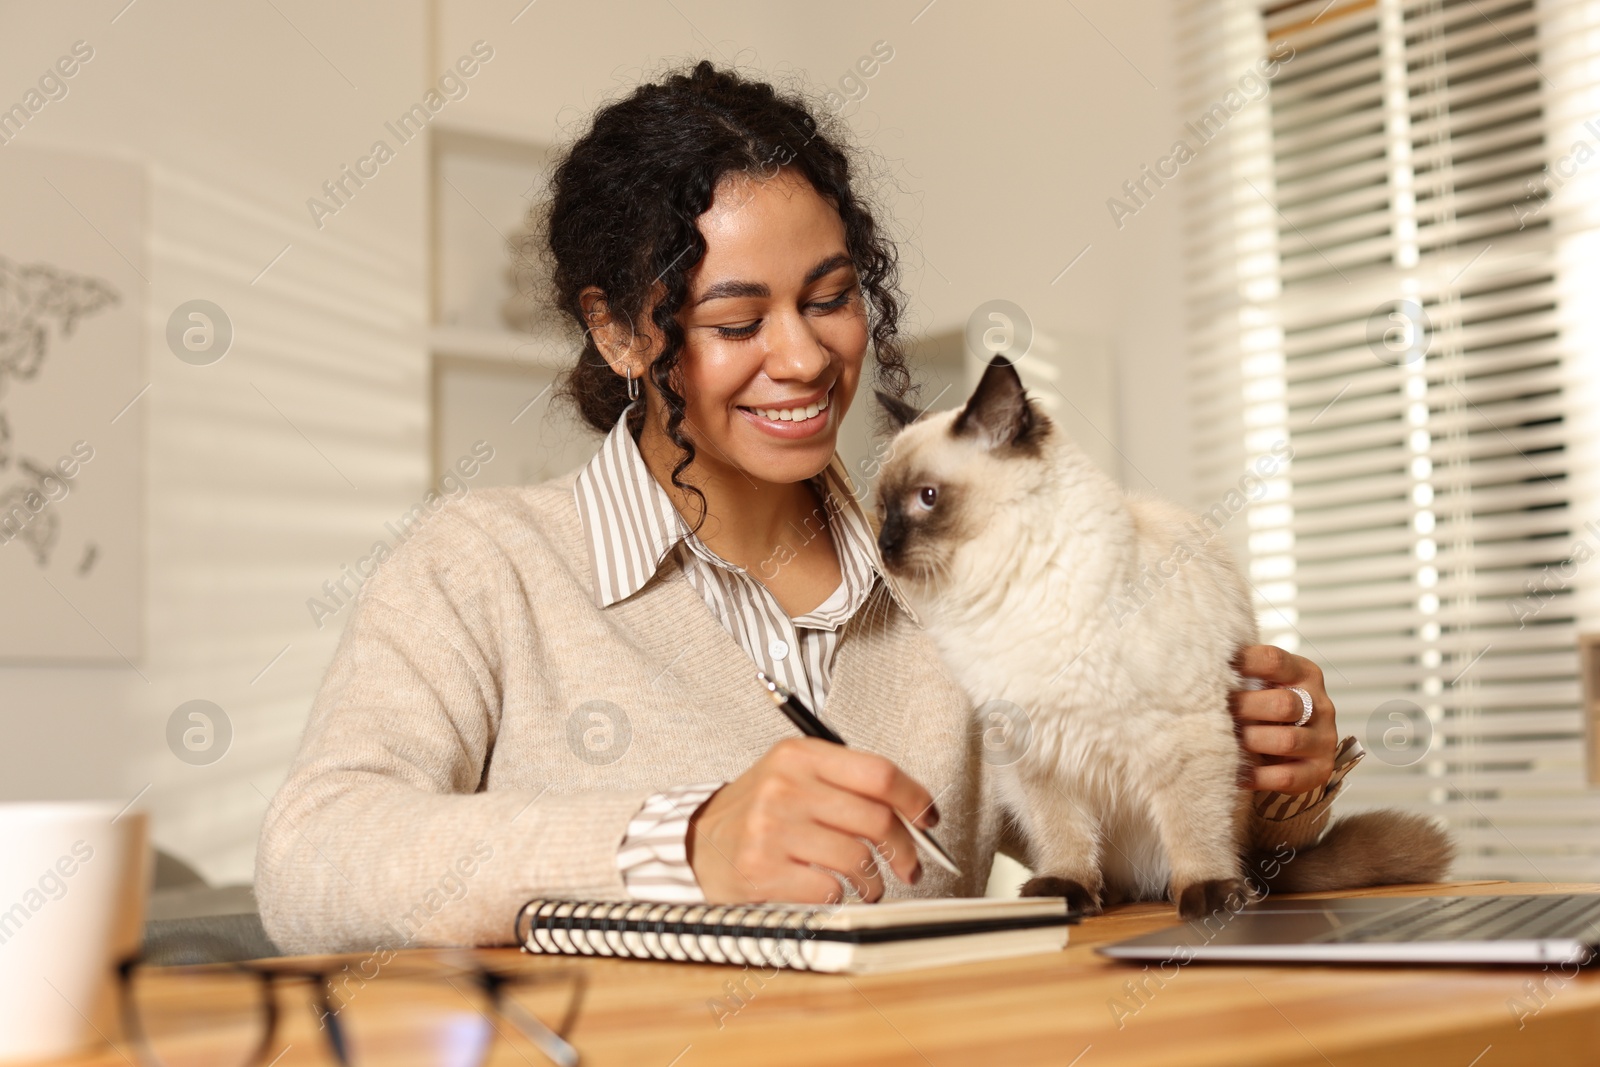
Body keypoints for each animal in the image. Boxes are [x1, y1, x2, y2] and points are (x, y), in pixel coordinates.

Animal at [870, 358, 1459, 921]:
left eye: (927, 499)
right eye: (881, 508)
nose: (886, 545)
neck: (1006, 601)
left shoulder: (1183, 737)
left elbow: (1191, 828)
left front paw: (1207, 896)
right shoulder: (1039, 752)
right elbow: (1064, 837)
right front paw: (1065, 893)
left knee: (1225, 856)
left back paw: (1222, 889)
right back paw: (1108, 895)